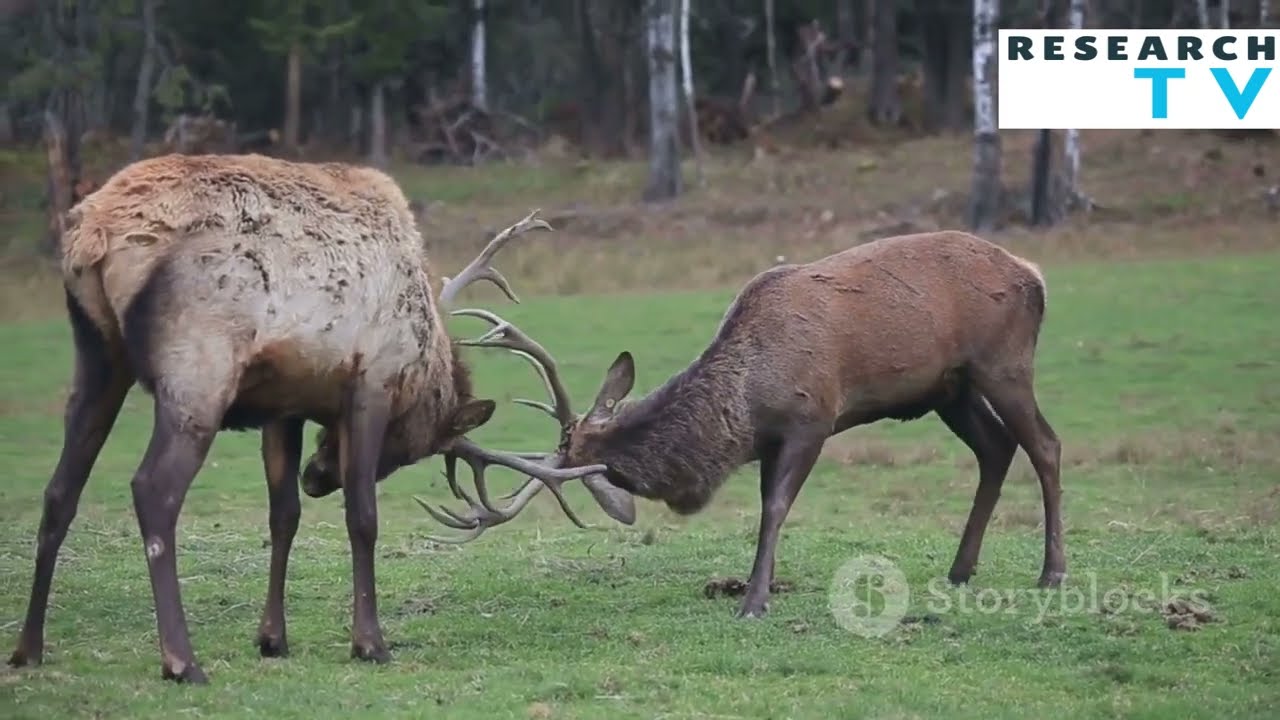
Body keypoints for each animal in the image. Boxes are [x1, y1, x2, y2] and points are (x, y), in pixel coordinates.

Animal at [6, 153, 633, 684]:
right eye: (406, 449)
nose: (317, 475)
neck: (424, 358)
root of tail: (92, 235)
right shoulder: (371, 382)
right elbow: (363, 517)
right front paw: (370, 642)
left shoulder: (282, 406)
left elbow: (283, 515)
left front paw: (272, 637)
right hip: (198, 369)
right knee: (152, 489)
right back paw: (182, 660)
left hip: (97, 357)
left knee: (60, 489)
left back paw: (28, 648)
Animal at [418, 229, 1065, 620]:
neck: (745, 401)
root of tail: (1035, 274)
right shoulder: (767, 441)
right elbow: (763, 507)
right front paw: (762, 585)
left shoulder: (812, 419)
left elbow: (775, 507)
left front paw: (753, 601)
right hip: (948, 388)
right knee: (995, 449)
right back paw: (961, 569)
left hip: (1002, 362)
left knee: (1045, 445)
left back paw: (1051, 572)